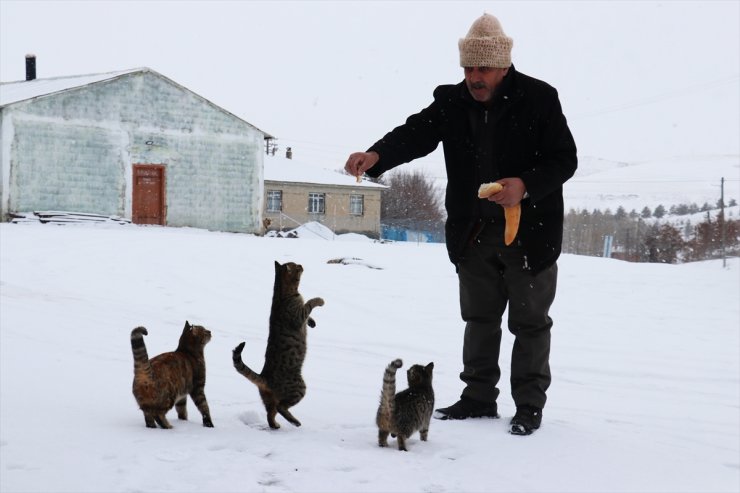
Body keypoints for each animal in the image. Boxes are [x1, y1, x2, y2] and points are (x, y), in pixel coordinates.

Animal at [231, 262, 324, 426]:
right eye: (296, 266)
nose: (301, 264)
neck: (283, 293)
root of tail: (264, 377)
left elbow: (308, 313)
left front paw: (312, 322)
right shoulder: (298, 316)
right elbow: (309, 304)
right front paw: (319, 300)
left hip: (269, 401)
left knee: (271, 414)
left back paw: (277, 425)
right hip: (299, 387)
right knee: (281, 407)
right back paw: (295, 422)